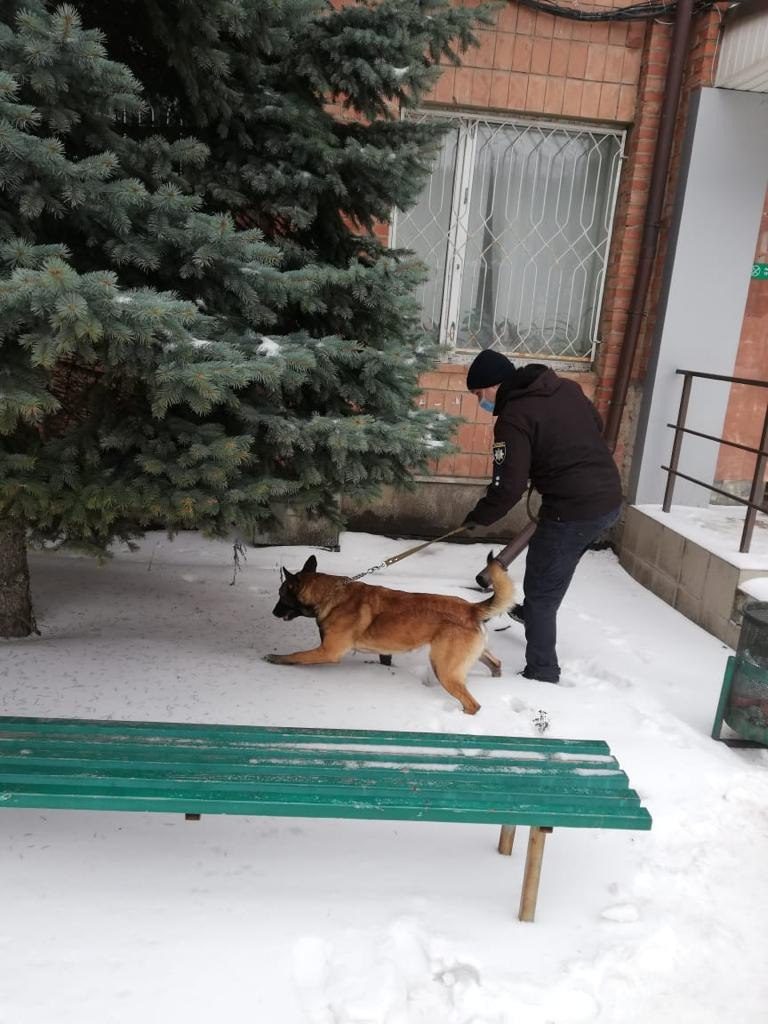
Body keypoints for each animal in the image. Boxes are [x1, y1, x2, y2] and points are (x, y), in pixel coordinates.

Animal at [268, 552, 514, 712]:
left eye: (281, 595)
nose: (273, 612)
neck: (329, 594)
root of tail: (471, 608)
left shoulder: (328, 651)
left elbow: (297, 656)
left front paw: (277, 658)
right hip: (475, 655)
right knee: (496, 663)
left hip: (444, 669)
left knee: (473, 704)